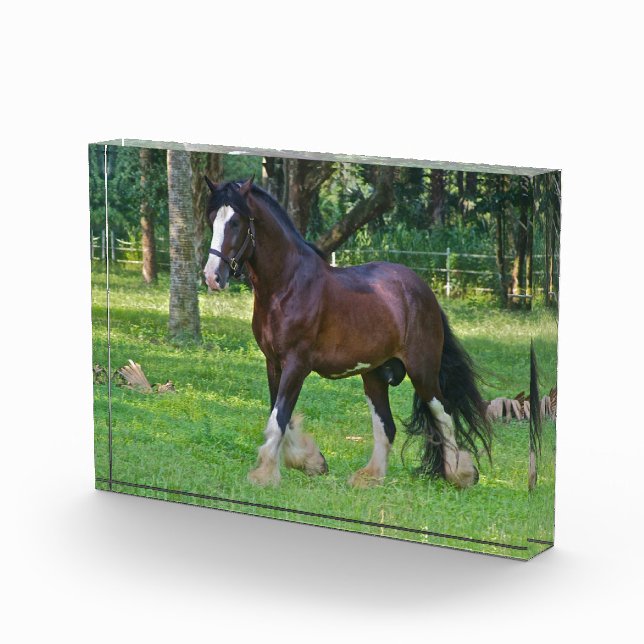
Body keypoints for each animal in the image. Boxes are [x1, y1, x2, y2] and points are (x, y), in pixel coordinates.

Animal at [203, 176, 492, 488]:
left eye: (235, 222)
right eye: (211, 219)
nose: (212, 277)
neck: (288, 285)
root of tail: (423, 291)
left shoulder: (296, 365)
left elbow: (278, 417)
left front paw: (265, 473)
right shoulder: (274, 364)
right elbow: (279, 414)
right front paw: (311, 461)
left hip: (422, 370)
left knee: (443, 415)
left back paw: (459, 474)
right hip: (374, 375)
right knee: (387, 426)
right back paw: (370, 476)